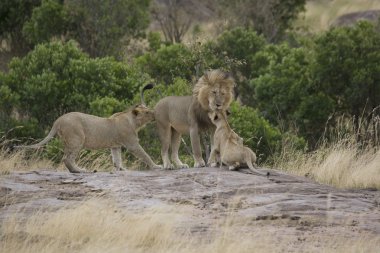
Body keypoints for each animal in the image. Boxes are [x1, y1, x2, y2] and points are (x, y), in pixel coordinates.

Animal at [16, 104, 162, 173]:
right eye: (147, 112)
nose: (155, 113)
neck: (134, 122)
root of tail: (58, 120)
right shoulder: (132, 144)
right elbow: (145, 155)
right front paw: (156, 166)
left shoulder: (115, 146)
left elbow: (117, 159)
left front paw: (122, 169)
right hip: (77, 140)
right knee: (67, 159)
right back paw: (80, 170)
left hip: (70, 141)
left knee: (66, 158)